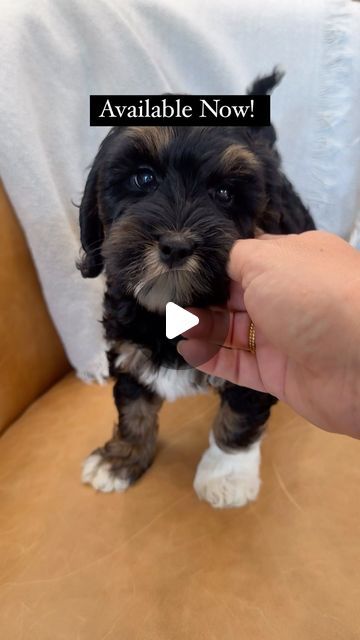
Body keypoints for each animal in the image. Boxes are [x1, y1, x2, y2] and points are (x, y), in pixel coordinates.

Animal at [78, 70, 316, 508]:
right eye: (143, 178)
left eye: (224, 194)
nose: (176, 245)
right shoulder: (127, 344)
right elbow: (133, 405)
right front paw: (120, 458)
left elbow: (238, 416)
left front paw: (226, 477)